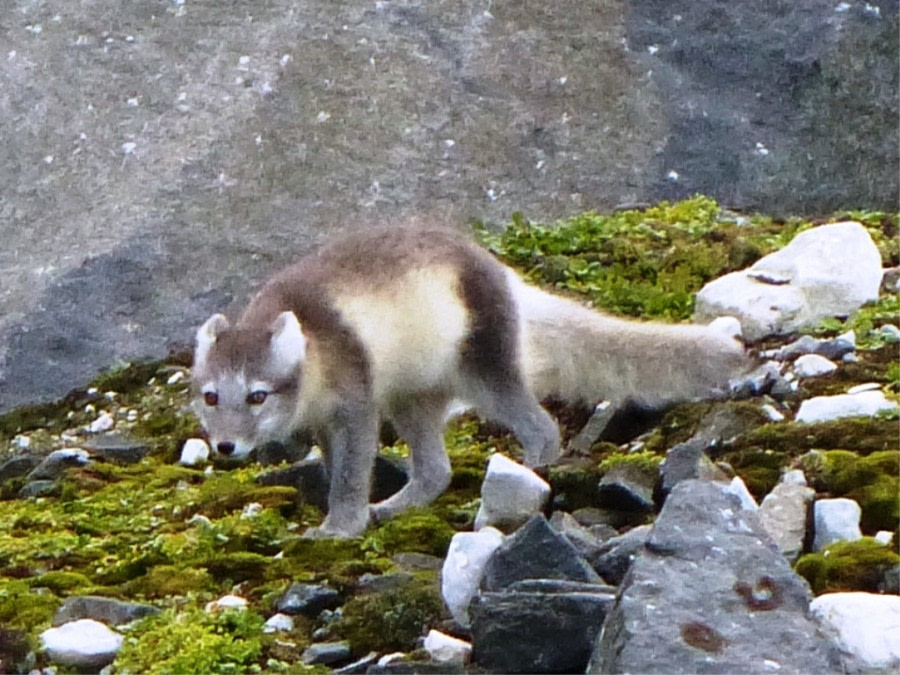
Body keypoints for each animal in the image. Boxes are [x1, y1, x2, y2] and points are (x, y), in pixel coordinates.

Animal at [193, 227, 748, 540]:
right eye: (211, 396)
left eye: (258, 395)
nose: (224, 447)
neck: (315, 349)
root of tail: (507, 277)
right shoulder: (328, 422)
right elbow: (339, 470)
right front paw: (352, 517)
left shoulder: (357, 403)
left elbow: (350, 475)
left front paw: (337, 529)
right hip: (412, 396)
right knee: (435, 471)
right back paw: (394, 508)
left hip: (485, 370)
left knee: (542, 426)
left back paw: (529, 473)